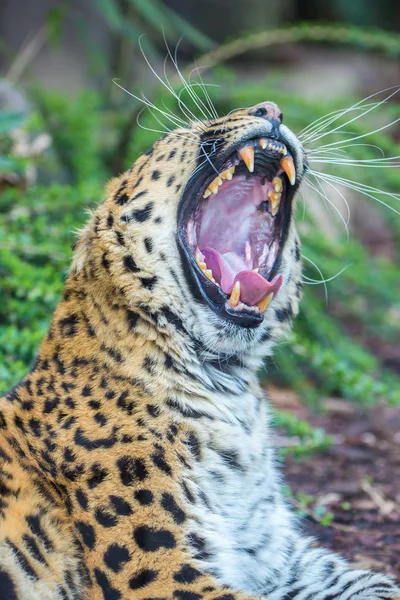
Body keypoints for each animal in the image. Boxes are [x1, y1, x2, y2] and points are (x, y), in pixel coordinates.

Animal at [0, 101, 400, 596]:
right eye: (187, 130)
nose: (271, 109)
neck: (228, 388)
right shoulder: (163, 573)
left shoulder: (276, 557)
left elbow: (370, 581)